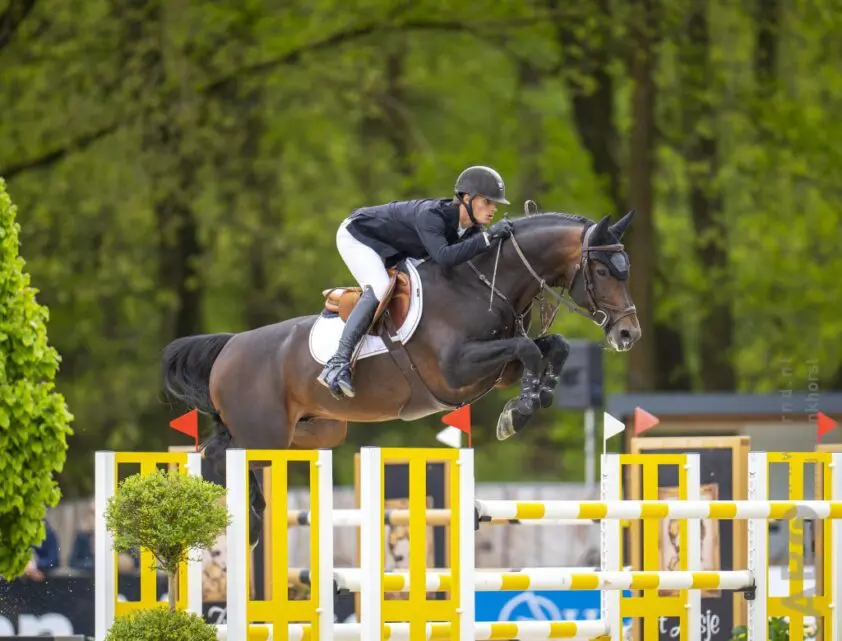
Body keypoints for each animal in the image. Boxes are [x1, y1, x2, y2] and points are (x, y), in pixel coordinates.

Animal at [160, 206, 641, 545]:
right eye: (602, 270)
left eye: (626, 269)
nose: (628, 334)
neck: (482, 282)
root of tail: (229, 347)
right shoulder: (456, 369)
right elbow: (528, 349)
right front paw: (519, 412)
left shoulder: (497, 369)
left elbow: (552, 347)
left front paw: (534, 398)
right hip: (265, 435)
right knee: (217, 455)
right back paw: (241, 514)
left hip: (314, 432)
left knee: (220, 450)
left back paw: (251, 517)